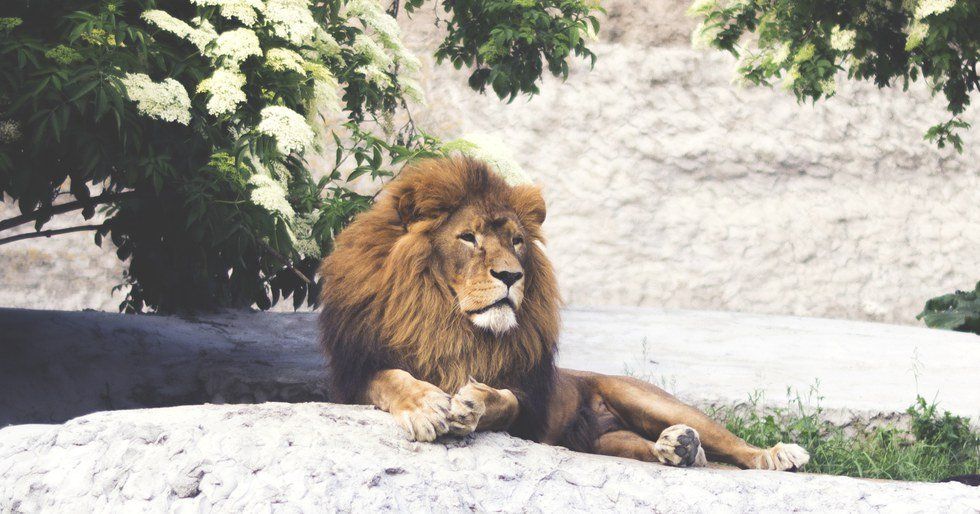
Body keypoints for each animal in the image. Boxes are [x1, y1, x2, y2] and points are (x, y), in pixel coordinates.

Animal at [318, 157, 809, 470]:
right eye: (468, 237)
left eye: (516, 241)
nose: (511, 275)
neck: (446, 319)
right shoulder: (353, 378)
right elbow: (390, 378)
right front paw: (425, 406)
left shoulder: (529, 406)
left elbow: (505, 400)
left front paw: (474, 402)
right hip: (607, 442)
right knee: (651, 448)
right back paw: (680, 448)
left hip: (647, 398)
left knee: (727, 441)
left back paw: (772, 455)